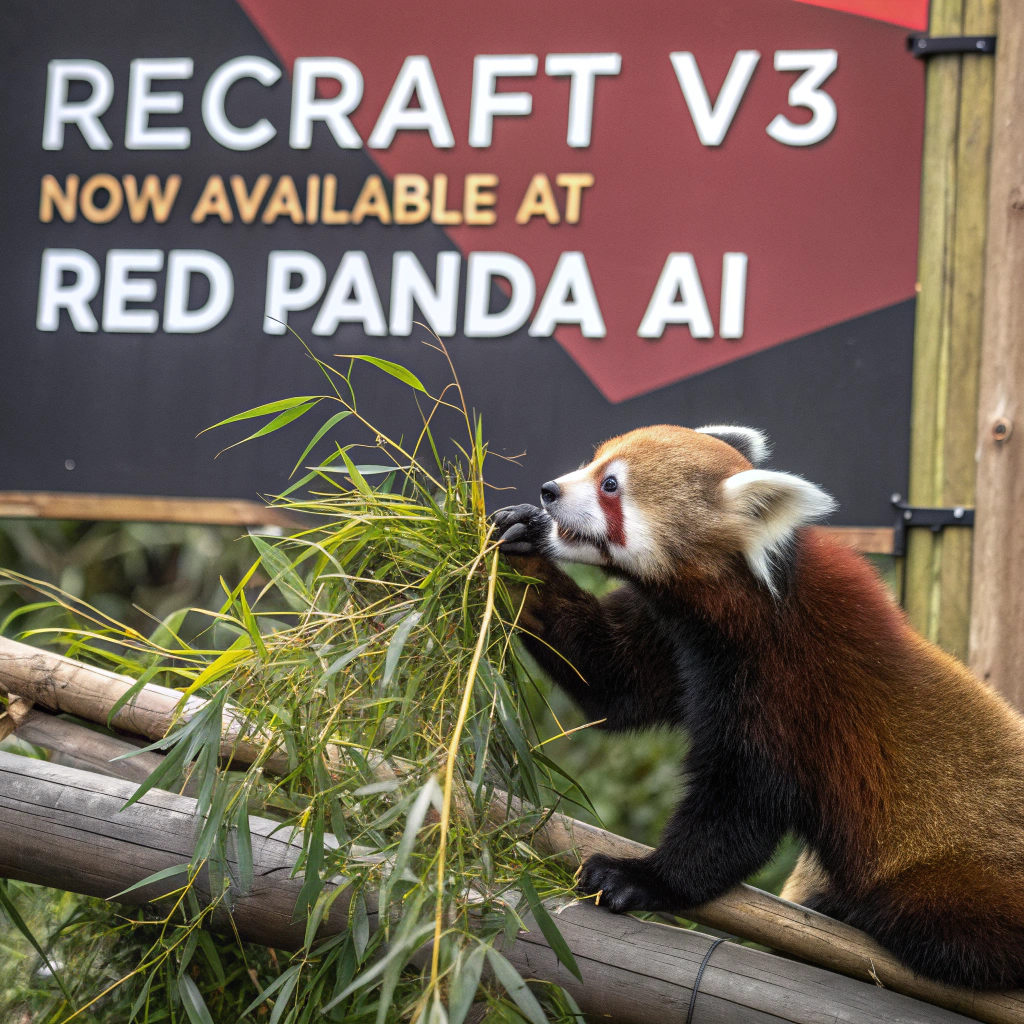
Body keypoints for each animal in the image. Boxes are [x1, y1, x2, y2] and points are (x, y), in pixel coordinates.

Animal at [492, 424, 1024, 990]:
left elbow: (741, 809)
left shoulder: (792, 688)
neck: (747, 603)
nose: (549, 490)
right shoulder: (677, 638)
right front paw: (521, 544)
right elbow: (612, 678)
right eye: (591, 464)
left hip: (958, 883)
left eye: (610, 485)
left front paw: (640, 877)